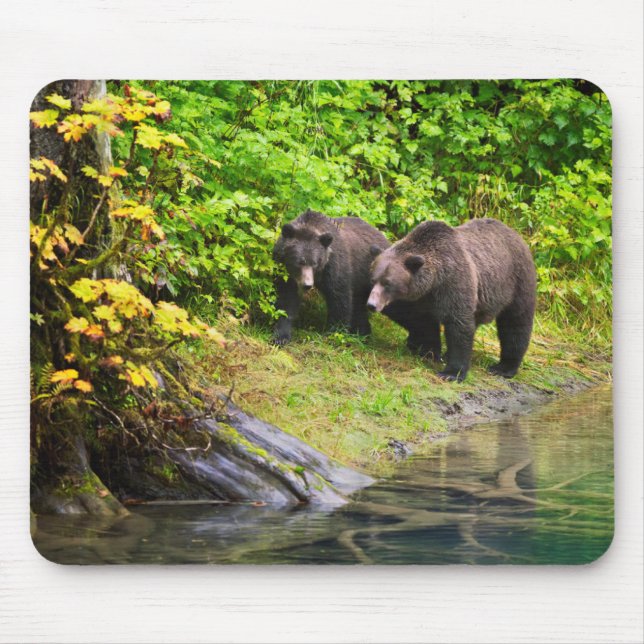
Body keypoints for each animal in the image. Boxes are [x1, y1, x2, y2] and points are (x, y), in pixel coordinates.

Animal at [273, 209, 390, 345]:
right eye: (300, 261)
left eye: (315, 263)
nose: (307, 285)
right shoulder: (284, 271)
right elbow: (286, 298)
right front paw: (281, 336)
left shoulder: (334, 266)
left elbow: (339, 297)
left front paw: (334, 333)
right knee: (359, 306)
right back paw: (362, 333)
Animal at [367, 218, 537, 382]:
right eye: (374, 279)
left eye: (388, 283)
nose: (371, 304)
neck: (433, 281)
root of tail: (515, 234)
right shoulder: (417, 298)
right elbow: (419, 320)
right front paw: (427, 349)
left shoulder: (453, 283)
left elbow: (458, 326)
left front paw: (451, 372)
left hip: (517, 281)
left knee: (516, 323)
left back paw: (504, 367)